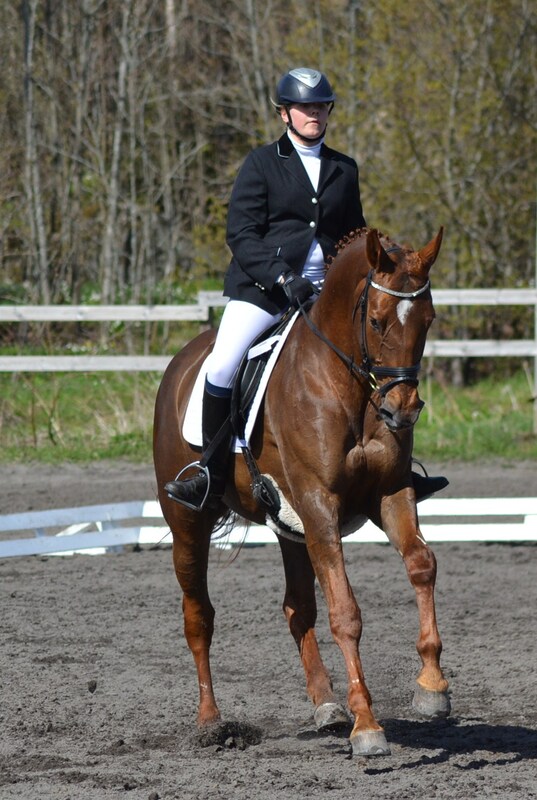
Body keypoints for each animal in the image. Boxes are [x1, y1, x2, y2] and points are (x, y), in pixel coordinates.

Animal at [153, 227, 450, 757]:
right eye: (376, 320)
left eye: (428, 319)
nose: (402, 410)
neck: (348, 387)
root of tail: (181, 363)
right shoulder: (319, 504)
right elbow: (345, 611)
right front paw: (367, 726)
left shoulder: (389, 493)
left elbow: (421, 564)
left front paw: (431, 687)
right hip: (189, 522)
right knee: (198, 615)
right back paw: (211, 723)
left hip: (290, 525)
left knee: (297, 608)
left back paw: (327, 706)